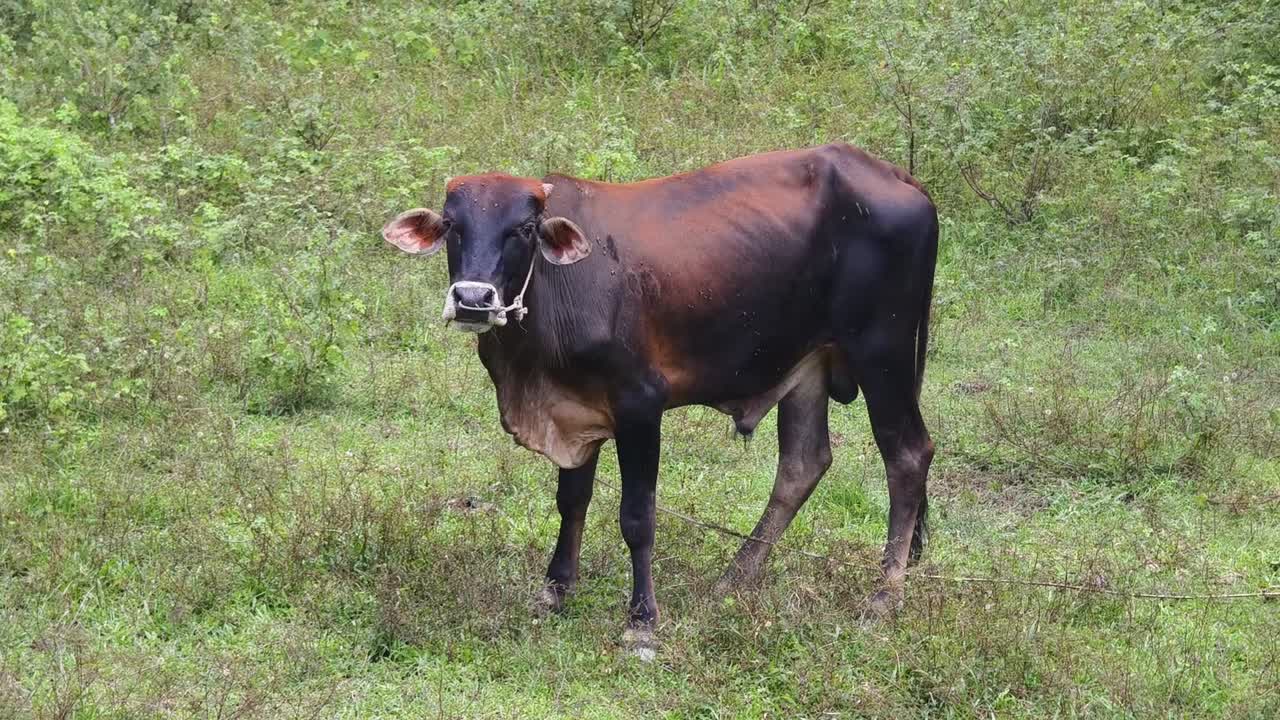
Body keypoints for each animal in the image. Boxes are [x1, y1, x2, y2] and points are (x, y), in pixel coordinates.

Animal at [383, 143, 938, 656]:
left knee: (907, 456)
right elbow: (571, 500)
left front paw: (642, 621)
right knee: (804, 463)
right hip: (809, 365)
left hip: (881, 353)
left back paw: (883, 597)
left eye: (522, 229)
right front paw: (555, 589)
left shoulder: (640, 407)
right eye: (452, 225)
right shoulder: (575, 409)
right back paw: (734, 578)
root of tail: (895, 174)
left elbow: (637, 517)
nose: (473, 300)